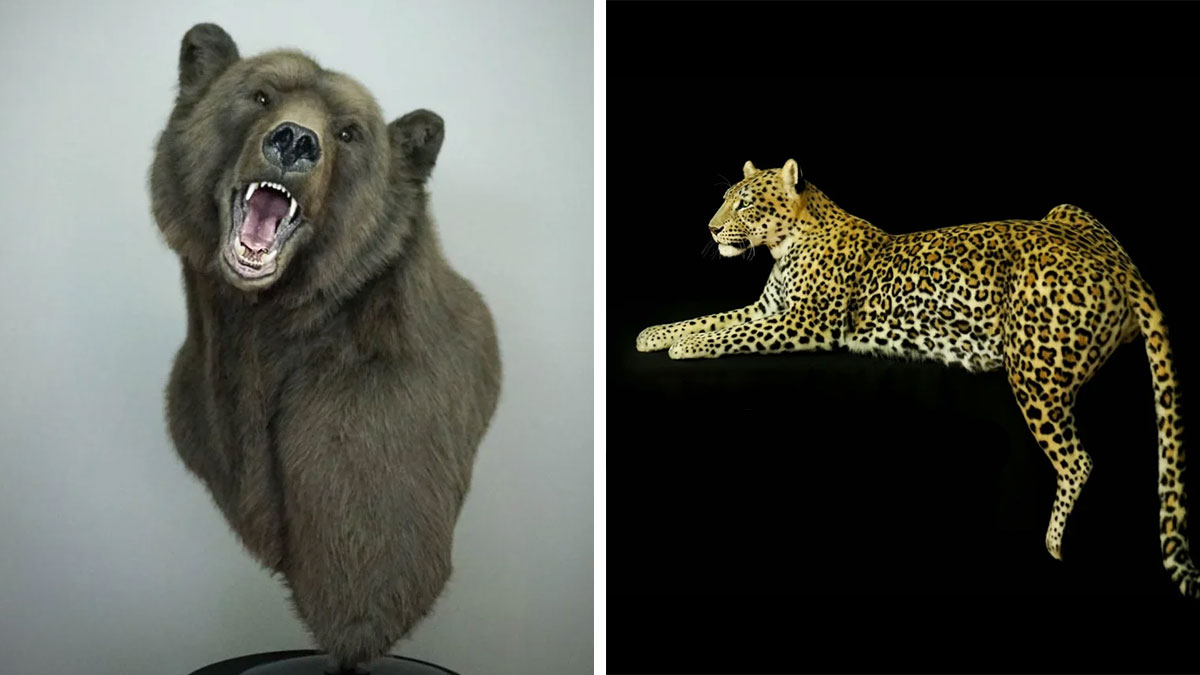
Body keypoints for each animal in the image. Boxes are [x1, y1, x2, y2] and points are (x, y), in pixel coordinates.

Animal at [149, 23, 501, 672]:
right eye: (262, 94)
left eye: (349, 131)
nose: (294, 141)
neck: (265, 322)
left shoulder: (373, 422)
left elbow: (363, 569)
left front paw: (353, 631)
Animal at [636, 159, 1197, 598]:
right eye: (725, 201)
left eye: (746, 204)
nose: (711, 230)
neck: (787, 243)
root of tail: (1119, 266)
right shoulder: (767, 309)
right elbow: (713, 318)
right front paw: (654, 334)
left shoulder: (804, 323)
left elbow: (728, 334)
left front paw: (684, 347)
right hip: (1067, 208)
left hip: (1034, 369)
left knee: (1078, 460)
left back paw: (1053, 544)